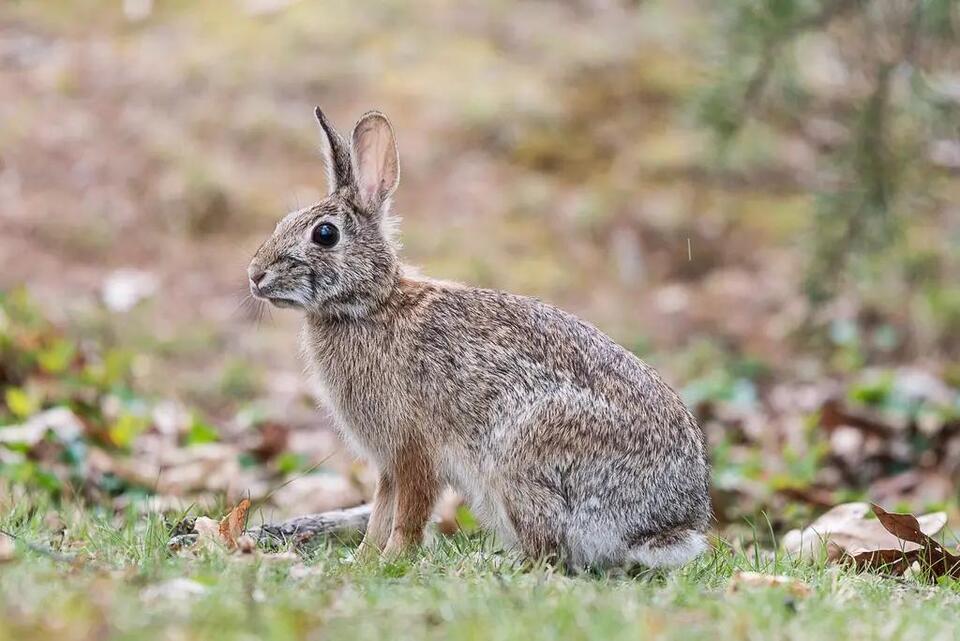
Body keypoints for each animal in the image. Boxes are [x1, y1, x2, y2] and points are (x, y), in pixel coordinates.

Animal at [247, 107, 712, 569]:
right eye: (283, 222)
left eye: (324, 234)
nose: (255, 275)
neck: (371, 304)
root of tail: (663, 528)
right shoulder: (388, 463)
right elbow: (381, 508)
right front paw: (364, 560)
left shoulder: (415, 448)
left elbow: (409, 513)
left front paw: (393, 559)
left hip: (521, 461)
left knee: (550, 552)